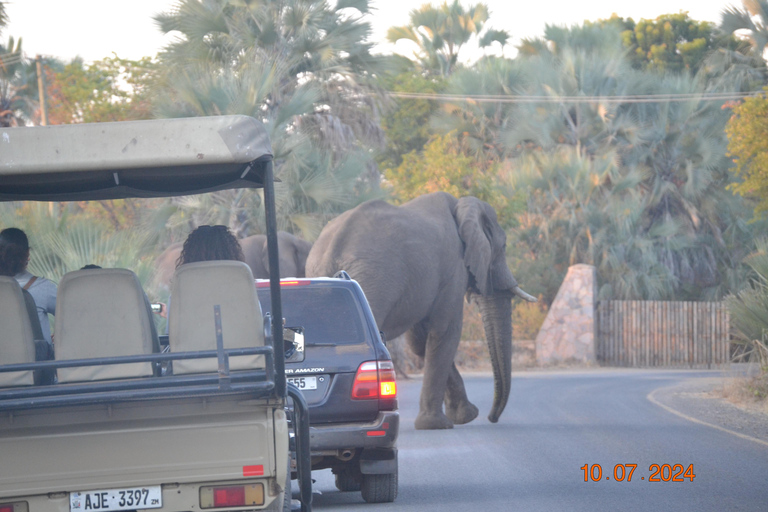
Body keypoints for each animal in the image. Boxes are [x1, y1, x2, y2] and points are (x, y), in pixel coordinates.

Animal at [304, 191, 536, 428]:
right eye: (504, 246)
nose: (492, 418)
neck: (460, 206)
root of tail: (330, 252)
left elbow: (420, 342)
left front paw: (465, 416)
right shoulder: (454, 268)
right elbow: (445, 333)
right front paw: (439, 424)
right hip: (372, 282)